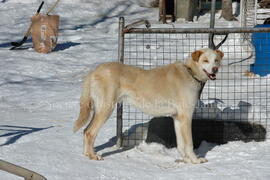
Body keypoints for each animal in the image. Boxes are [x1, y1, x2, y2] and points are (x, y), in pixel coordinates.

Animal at [74, 47, 224, 163]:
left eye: (216, 60)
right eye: (205, 60)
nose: (215, 69)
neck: (190, 72)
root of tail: (95, 71)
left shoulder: (178, 118)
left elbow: (181, 145)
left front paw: (186, 160)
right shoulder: (186, 117)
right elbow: (189, 144)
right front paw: (195, 160)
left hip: (98, 109)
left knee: (86, 130)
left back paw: (86, 154)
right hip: (105, 109)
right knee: (90, 132)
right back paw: (93, 156)